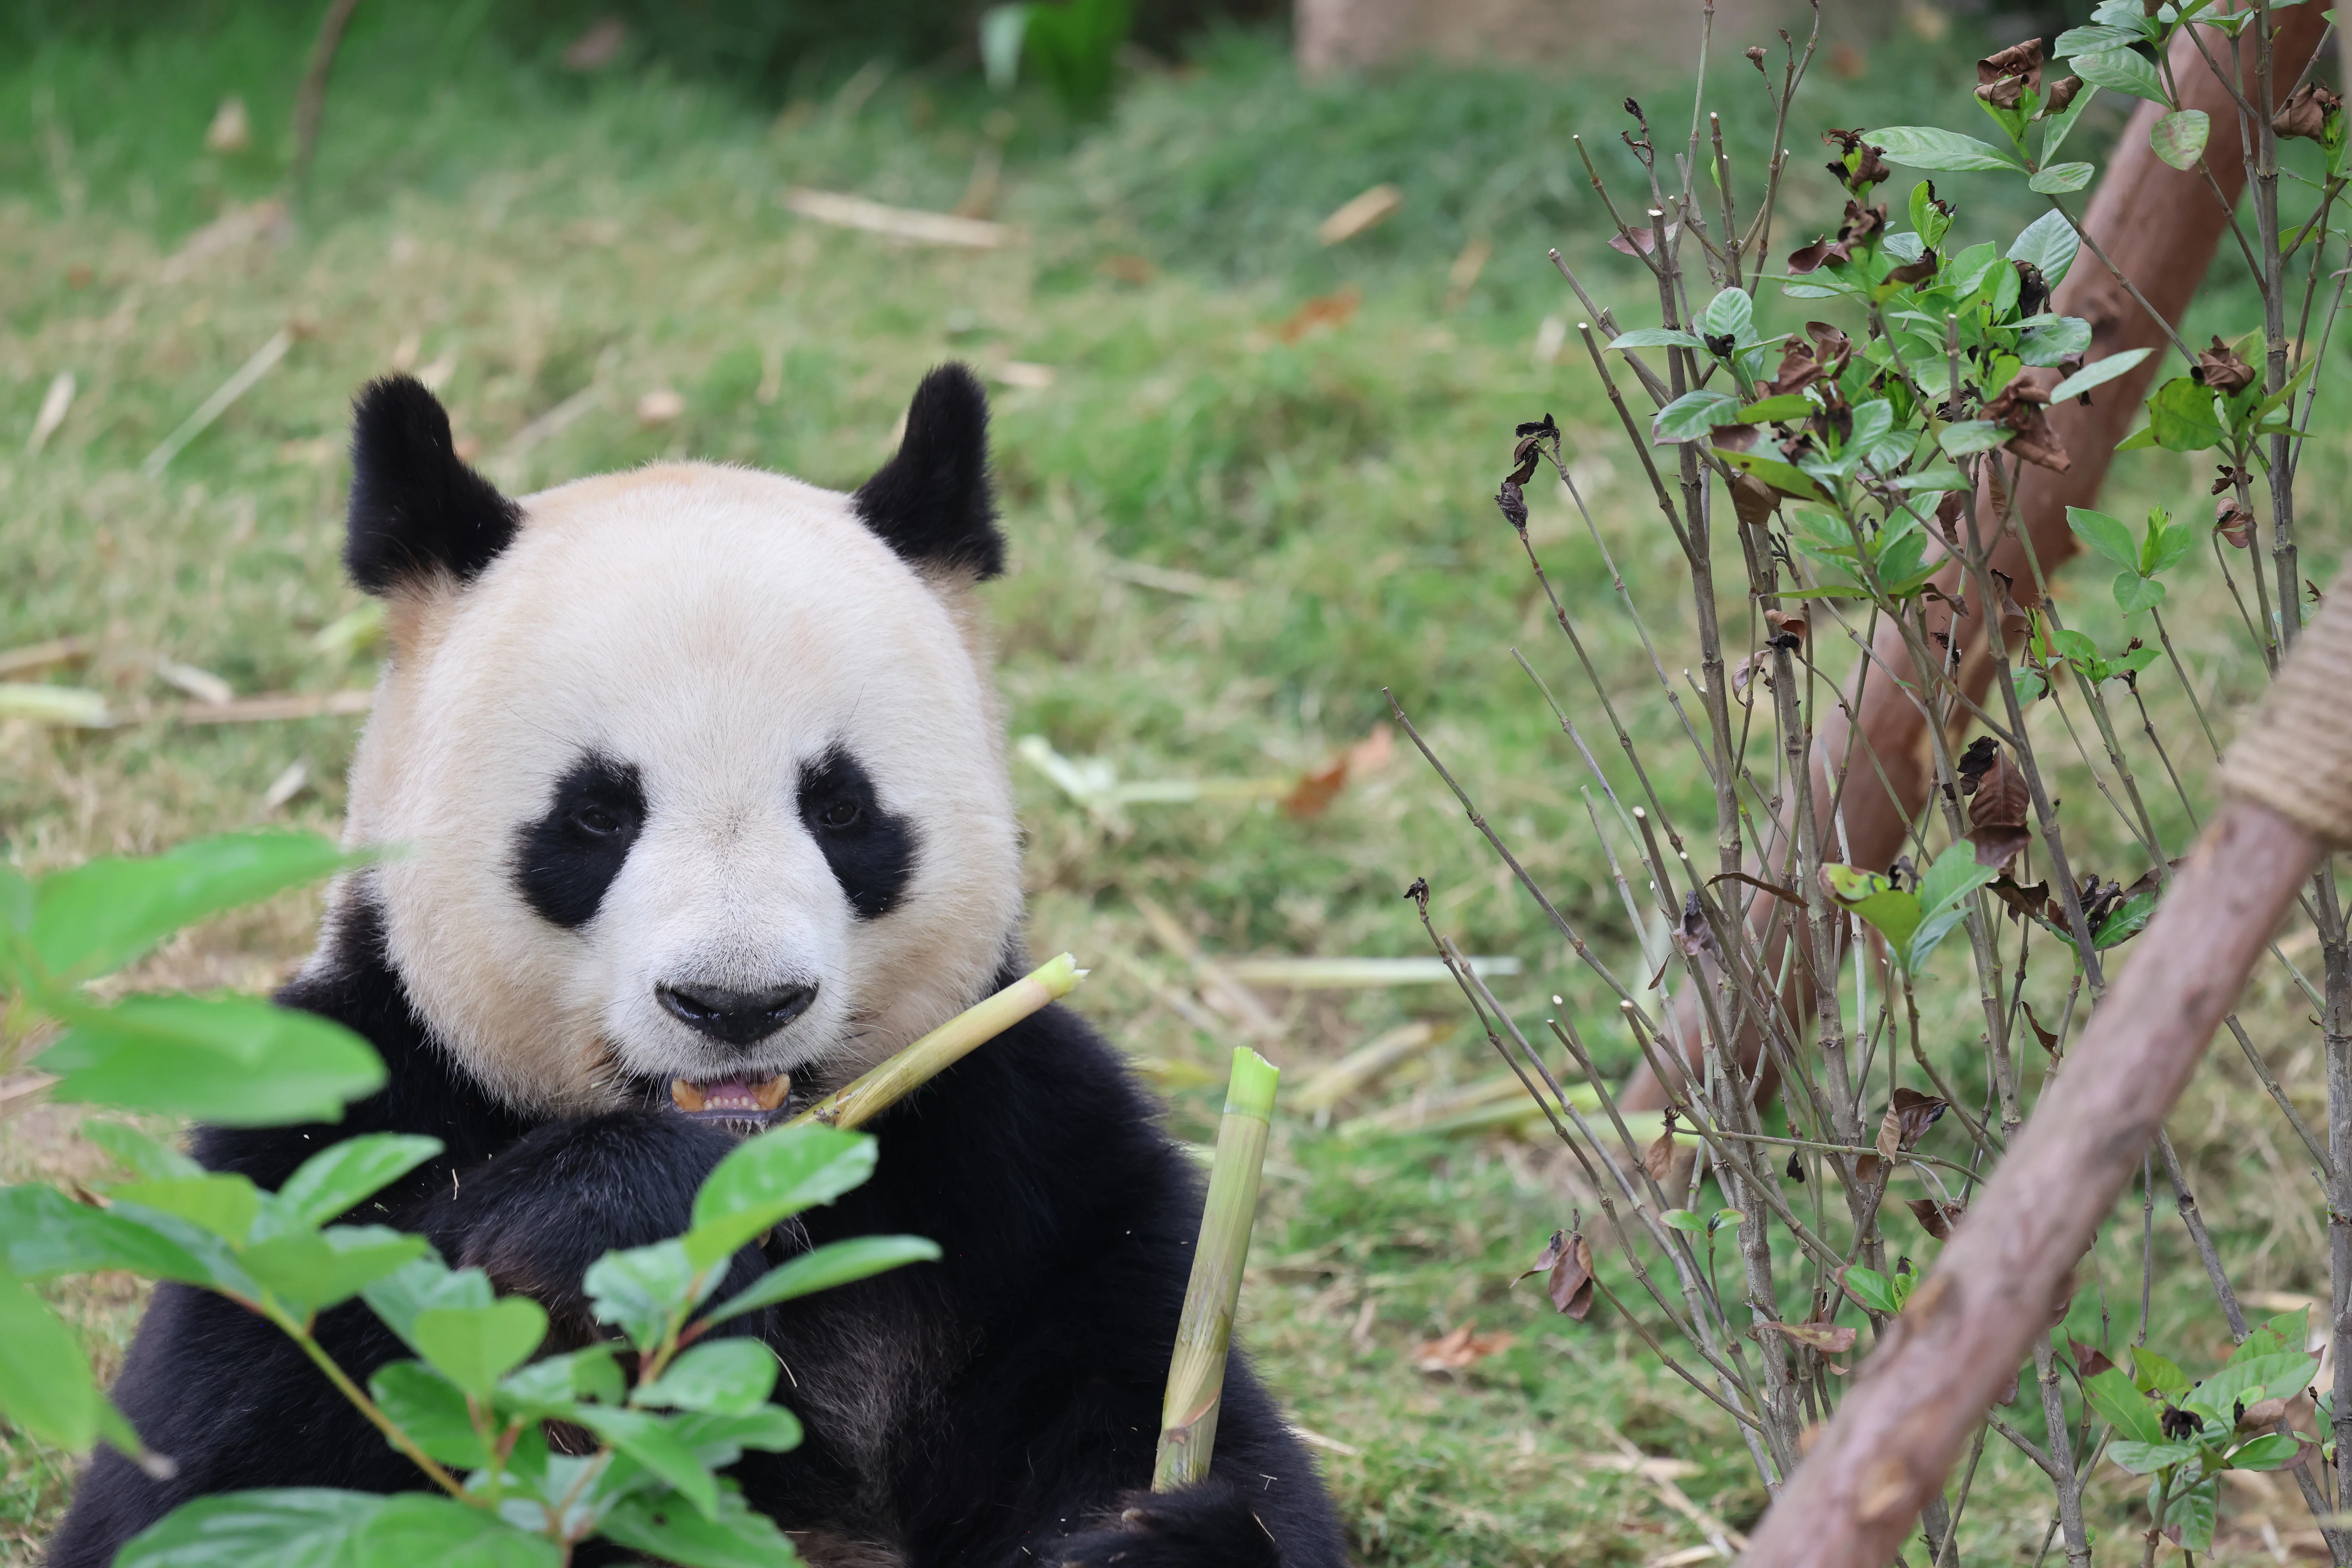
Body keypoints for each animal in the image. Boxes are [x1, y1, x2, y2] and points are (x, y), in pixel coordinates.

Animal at [49, 366, 1347, 1568]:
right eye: (595, 815)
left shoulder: (1029, 1167)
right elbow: (216, 1470)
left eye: (841, 807)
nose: (738, 1003)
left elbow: (1184, 1422)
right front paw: (620, 1210)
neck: (765, 1178)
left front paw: (1156, 1538)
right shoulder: (328, 1121)